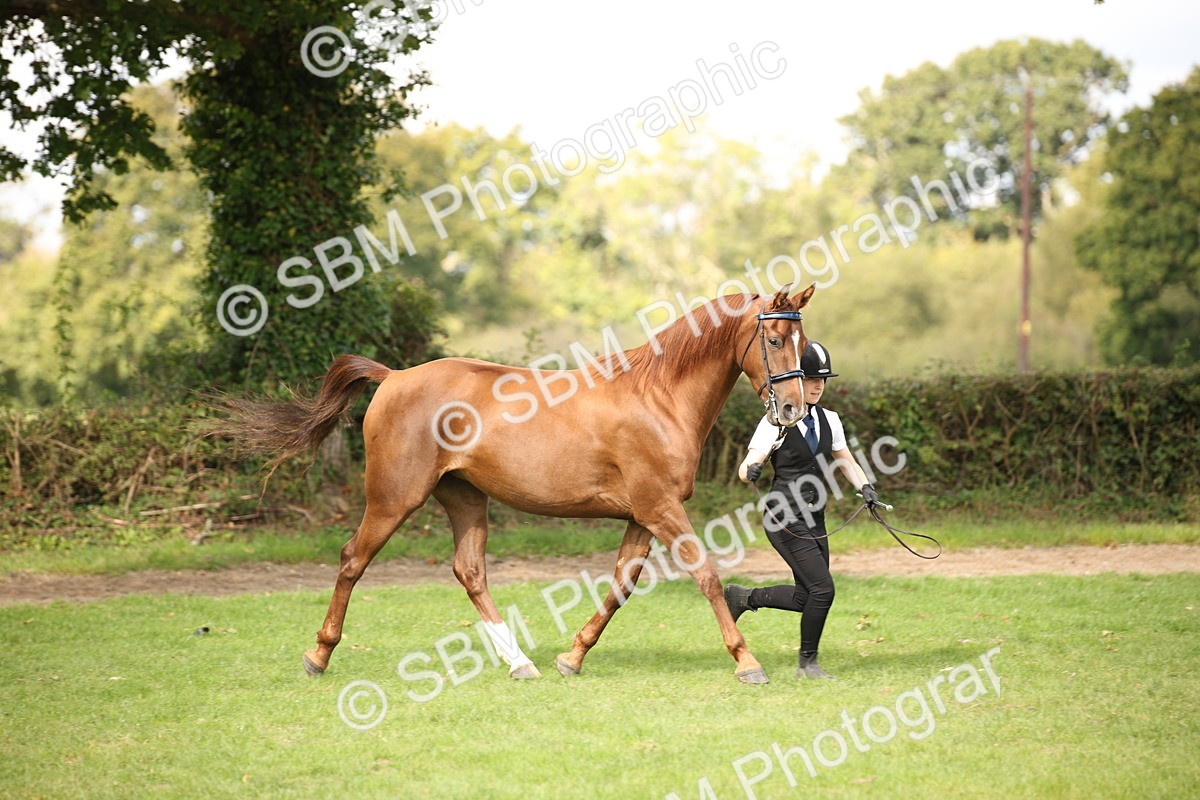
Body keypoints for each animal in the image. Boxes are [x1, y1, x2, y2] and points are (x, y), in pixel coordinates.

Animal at [212, 283, 814, 684]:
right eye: (775, 339)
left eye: (802, 338)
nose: (793, 408)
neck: (658, 396)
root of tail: (394, 377)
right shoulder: (660, 508)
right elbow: (707, 576)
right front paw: (748, 662)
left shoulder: (642, 516)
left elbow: (620, 587)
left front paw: (572, 657)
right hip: (393, 499)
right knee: (351, 560)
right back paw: (318, 656)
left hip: (464, 498)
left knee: (469, 572)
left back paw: (521, 662)